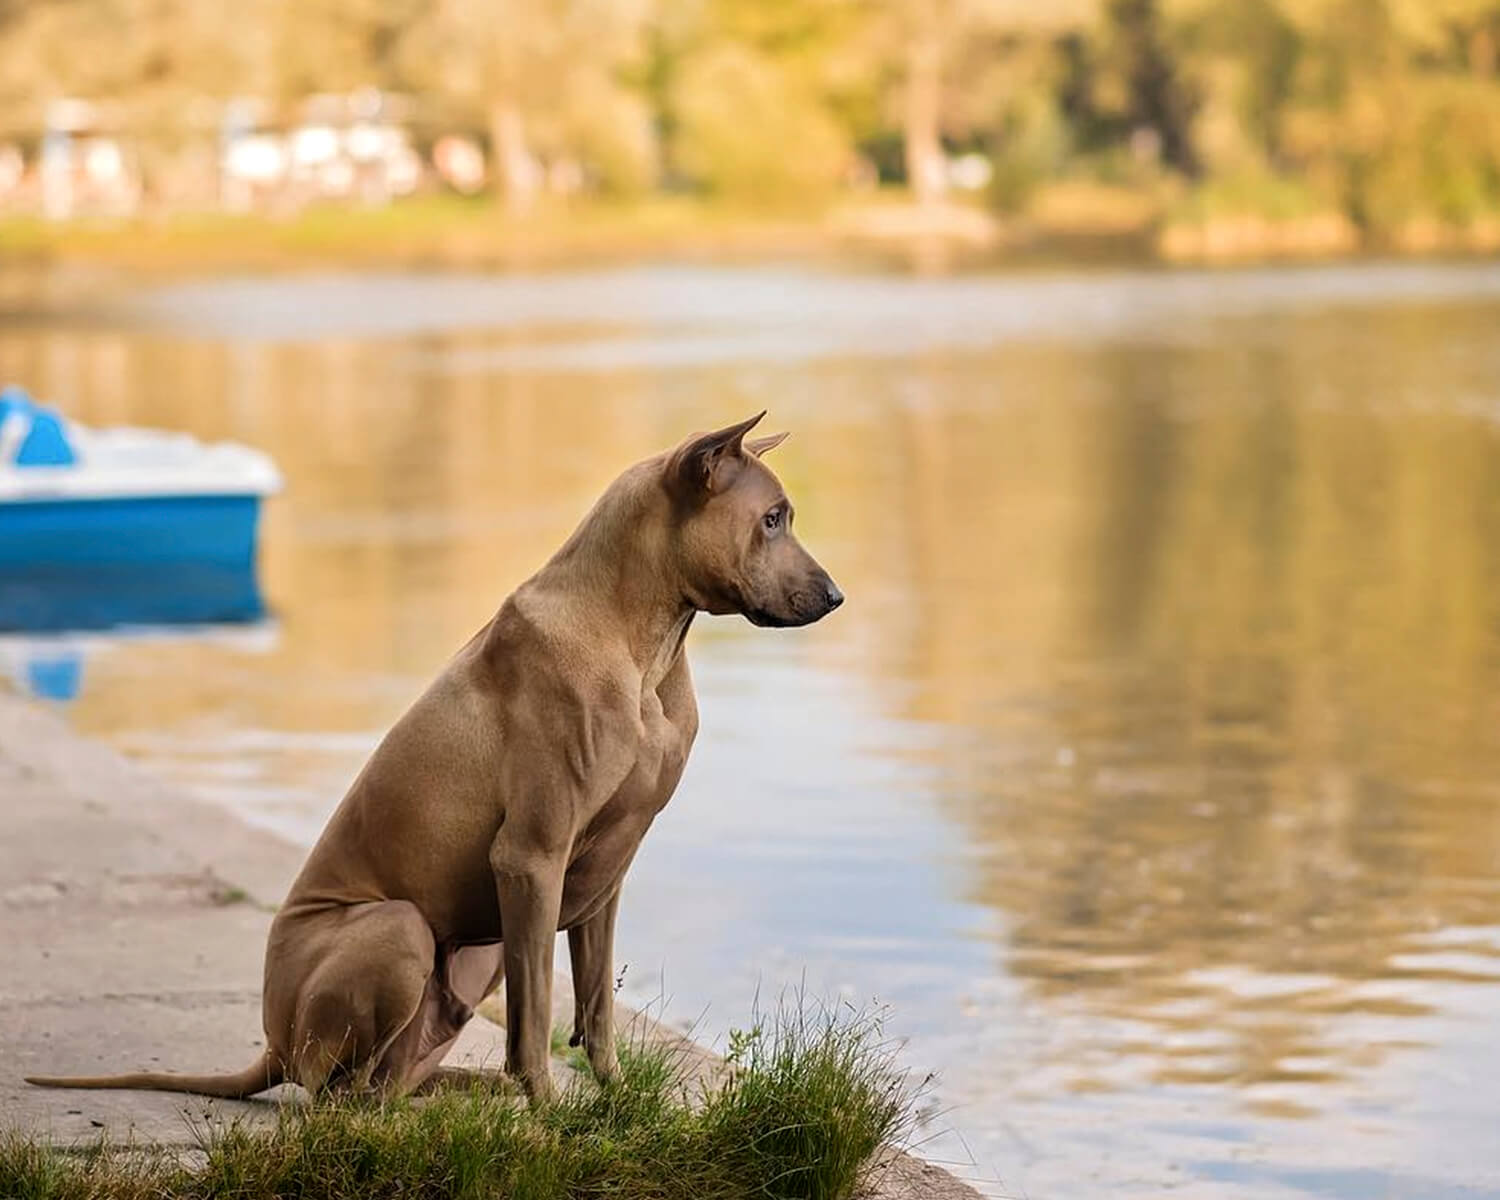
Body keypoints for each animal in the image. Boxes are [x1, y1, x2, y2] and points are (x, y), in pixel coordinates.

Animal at [29, 414, 846, 1104]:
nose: (837, 596)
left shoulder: (603, 874)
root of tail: (272, 1044)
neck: (644, 642)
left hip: (474, 954)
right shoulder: (532, 858)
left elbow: (594, 1008)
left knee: (391, 1083)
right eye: (772, 519)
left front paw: (615, 1102)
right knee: (342, 1095)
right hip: (400, 929)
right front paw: (550, 1113)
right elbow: (537, 1013)